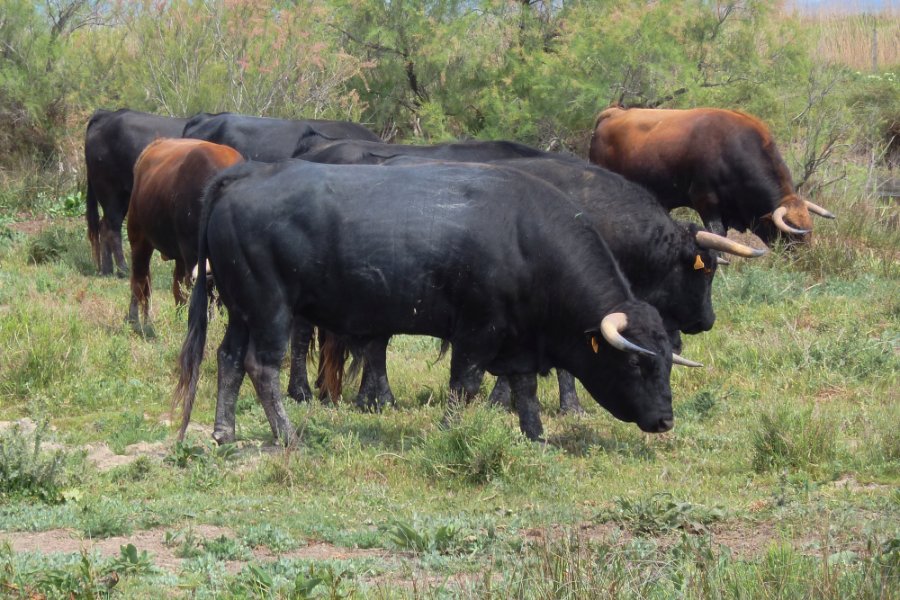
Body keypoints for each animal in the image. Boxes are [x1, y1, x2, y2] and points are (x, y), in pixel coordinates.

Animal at [85, 109, 188, 276]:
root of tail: (107, 114)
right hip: (112, 193)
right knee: (112, 227)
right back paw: (123, 269)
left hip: (123, 196)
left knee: (103, 225)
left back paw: (108, 270)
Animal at [174, 159, 682, 445]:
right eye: (636, 363)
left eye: (667, 362)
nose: (664, 420)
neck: (525, 236)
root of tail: (245, 175)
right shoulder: (477, 332)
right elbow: (465, 386)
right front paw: (449, 431)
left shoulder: (517, 341)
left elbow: (524, 390)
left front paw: (536, 436)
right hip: (270, 310)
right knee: (261, 367)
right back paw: (288, 435)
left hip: (242, 311)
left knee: (228, 360)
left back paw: (224, 432)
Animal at [588, 107, 835, 245]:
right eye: (794, 235)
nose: (807, 260)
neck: (733, 149)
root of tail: (614, 112)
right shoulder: (705, 201)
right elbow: (717, 235)